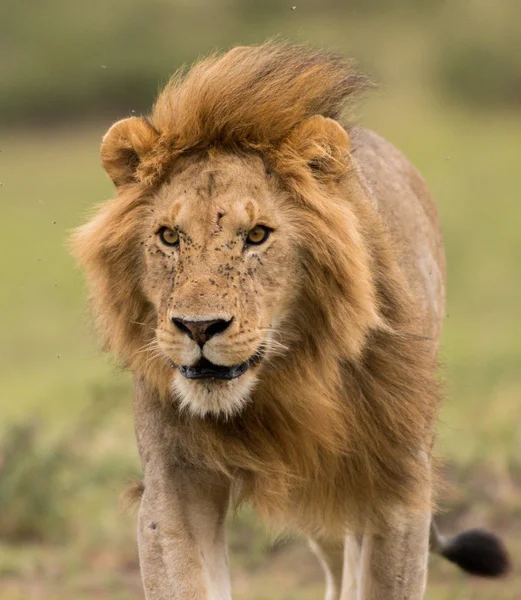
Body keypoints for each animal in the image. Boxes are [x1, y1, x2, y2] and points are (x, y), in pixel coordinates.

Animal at [72, 43, 508, 600]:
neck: (282, 384)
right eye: (169, 236)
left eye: (257, 235)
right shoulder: (174, 486)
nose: (198, 327)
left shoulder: (396, 486)